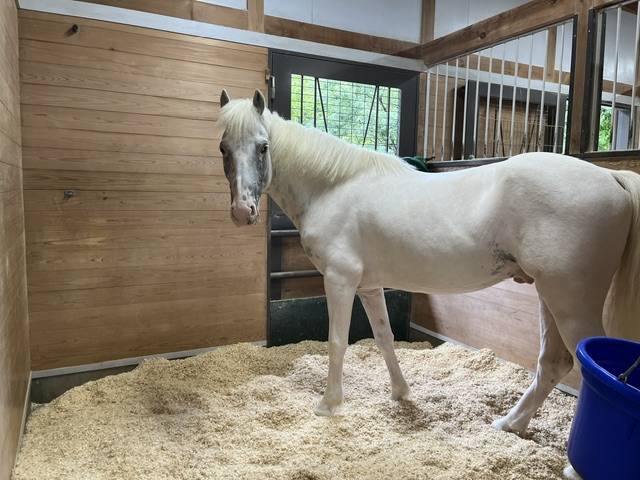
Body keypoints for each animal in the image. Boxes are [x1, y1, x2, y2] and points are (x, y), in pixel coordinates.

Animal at [216, 89, 640, 436]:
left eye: (263, 147)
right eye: (223, 148)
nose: (241, 212)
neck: (333, 187)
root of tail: (612, 178)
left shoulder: (340, 280)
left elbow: (337, 341)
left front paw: (328, 405)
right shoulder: (368, 285)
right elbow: (384, 338)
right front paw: (401, 394)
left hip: (570, 302)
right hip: (550, 297)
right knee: (553, 363)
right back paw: (510, 424)